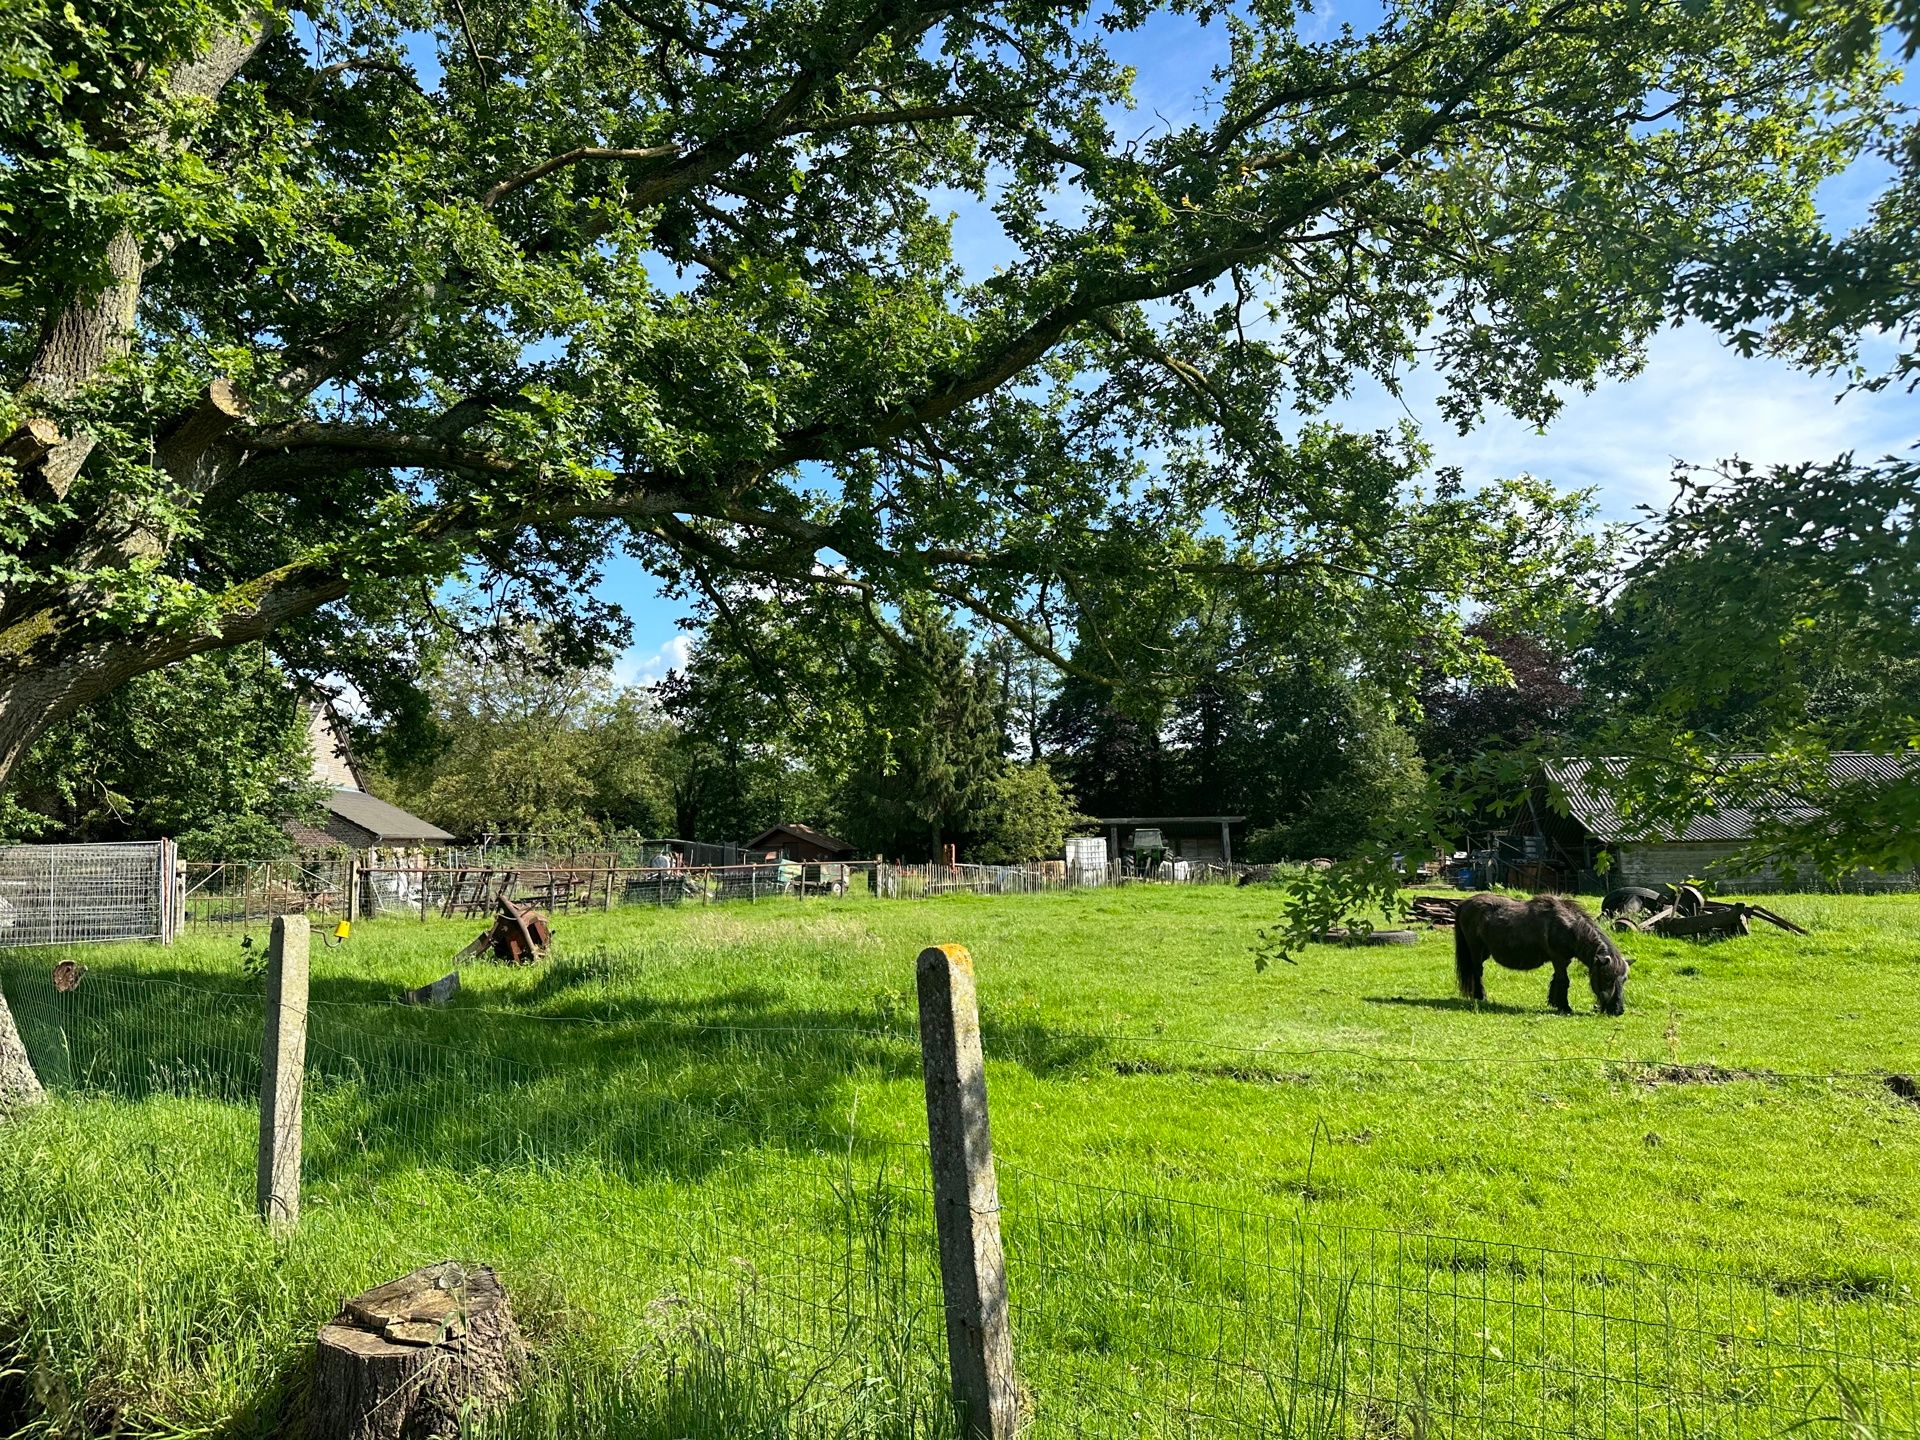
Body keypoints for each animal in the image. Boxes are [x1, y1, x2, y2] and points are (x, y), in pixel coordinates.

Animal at [1443, 898, 1628, 1021]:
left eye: (1624, 980)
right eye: (1607, 978)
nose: (1618, 1010)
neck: (1570, 927)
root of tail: (1465, 903)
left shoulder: (1562, 961)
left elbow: (1556, 980)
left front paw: (1554, 1002)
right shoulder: (1558, 959)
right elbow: (1564, 981)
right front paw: (1564, 1007)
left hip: (1485, 952)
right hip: (1475, 948)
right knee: (1477, 972)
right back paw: (1480, 996)